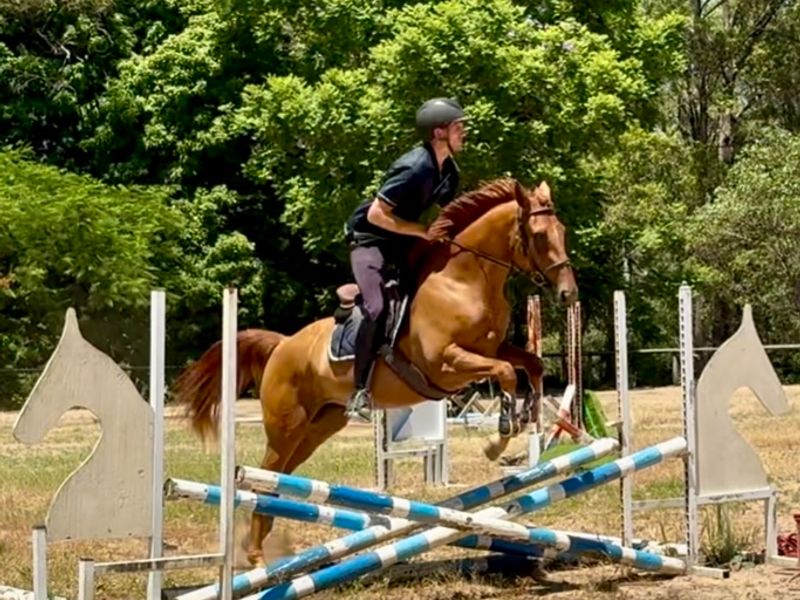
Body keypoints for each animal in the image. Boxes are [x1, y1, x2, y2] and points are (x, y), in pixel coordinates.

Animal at [172, 177, 578, 565]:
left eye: (562, 231)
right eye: (539, 235)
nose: (568, 295)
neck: (464, 281)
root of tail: (283, 344)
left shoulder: (491, 349)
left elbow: (531, 364)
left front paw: (529, 416)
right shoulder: (446, 364)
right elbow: (506, 372)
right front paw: (499, 438)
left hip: (318, 427)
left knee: (278, 477)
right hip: (286, 427)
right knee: (264, 476)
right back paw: (255, 555)